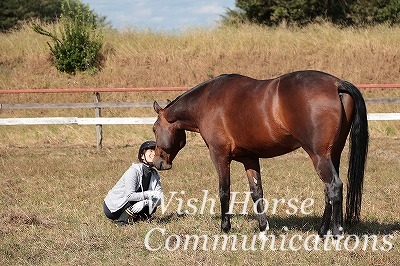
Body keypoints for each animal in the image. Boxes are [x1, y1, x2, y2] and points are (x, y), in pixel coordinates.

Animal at [151, 70, 368, 237]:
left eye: (154, 128)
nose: (157, 162)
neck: (207, 101)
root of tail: (336, 84)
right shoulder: (250, 159)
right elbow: (257, 192)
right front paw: (263, 227)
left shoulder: (220, 157)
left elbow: (224, 191)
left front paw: (225, 227)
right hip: (333, 155)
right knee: (328, 192)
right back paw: (322, 231)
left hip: (319, 157)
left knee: (334, 187)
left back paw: (336, 233)